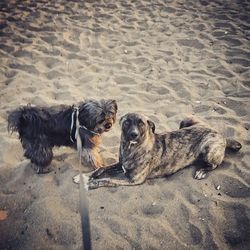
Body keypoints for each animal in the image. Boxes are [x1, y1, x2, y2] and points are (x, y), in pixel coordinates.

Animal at [73, 112, 242, 188]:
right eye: (127, 122)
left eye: (141, 123)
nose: (133, 134)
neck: (131, 148)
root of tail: (221, 135)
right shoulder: (120, 165)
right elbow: (101, 169)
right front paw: (85, 176)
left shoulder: (134, 180)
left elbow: (106, 179)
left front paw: (90, 184)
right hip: (185, 121)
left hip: (209, 148)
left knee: (215, 164)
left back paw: (202, 171)